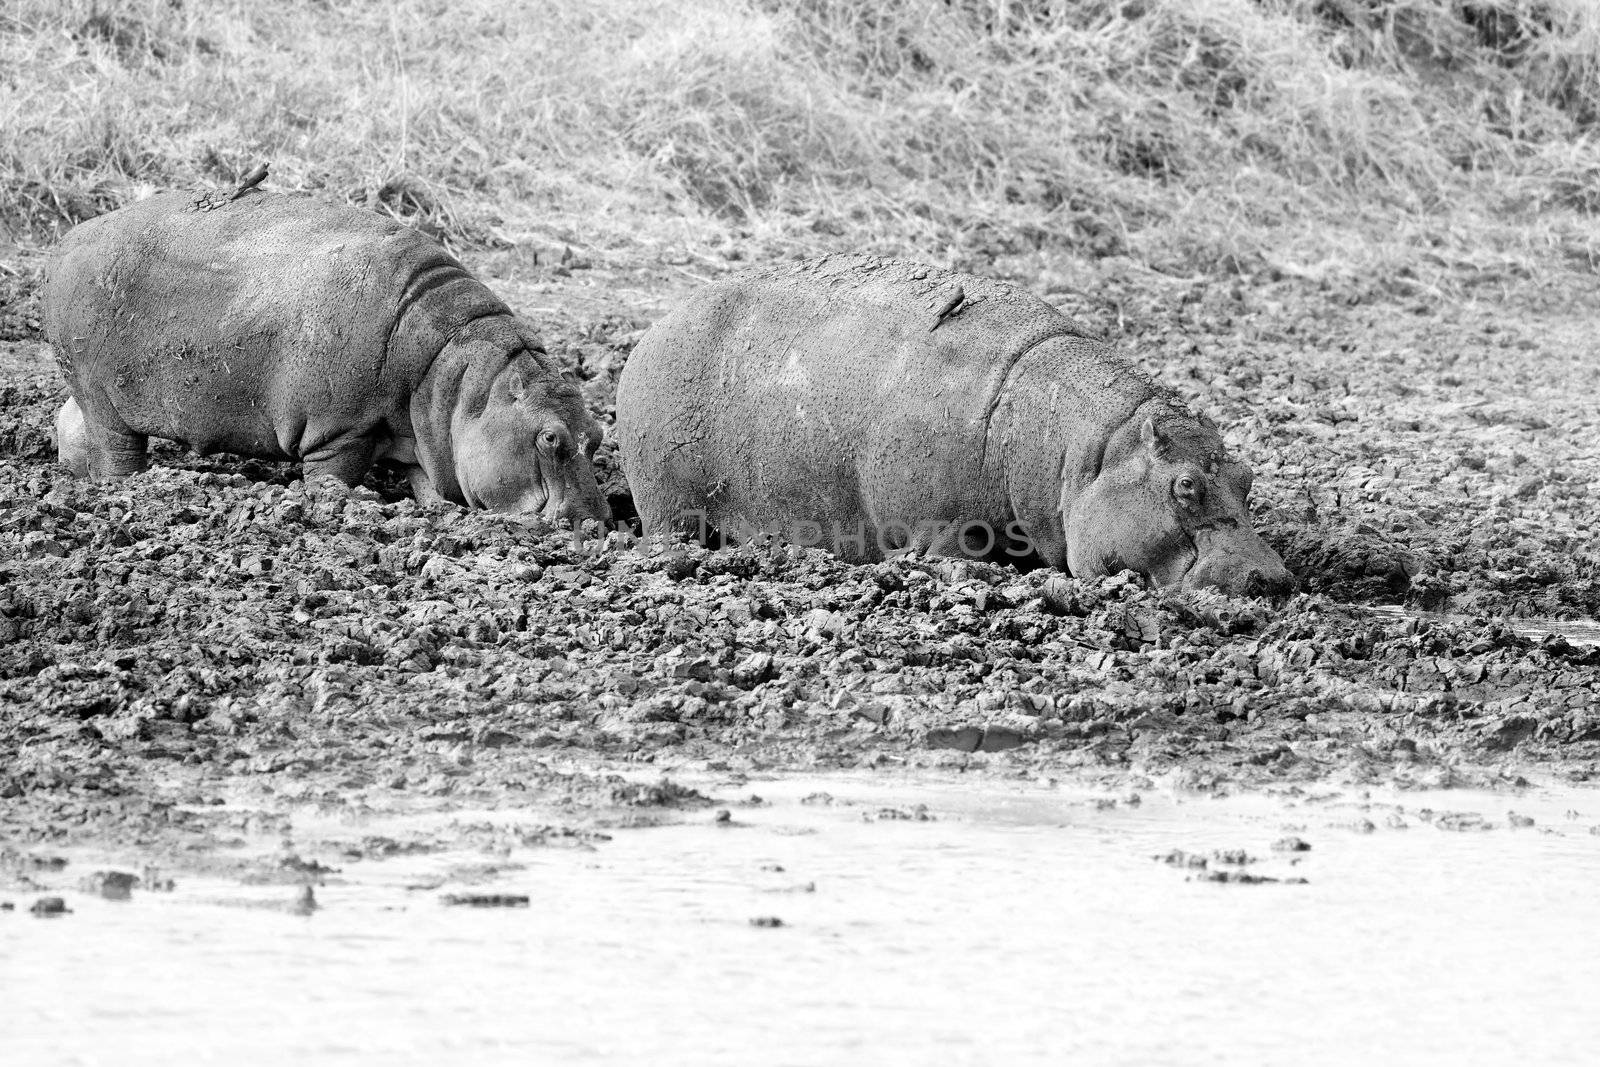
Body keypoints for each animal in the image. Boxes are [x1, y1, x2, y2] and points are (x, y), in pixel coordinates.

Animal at [43, 189, 608, 527]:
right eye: (551, 439)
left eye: (600, 434)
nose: (599, 523)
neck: (464, 376)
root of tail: (72, 236)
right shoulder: (341, 430)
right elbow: (335, 477)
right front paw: (339, 506)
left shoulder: (424, 438)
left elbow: (429, 485)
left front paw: (434, 517)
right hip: (103, 395)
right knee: (116, 450)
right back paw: (126, 488)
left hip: (91, 392)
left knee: (71, 422)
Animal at [617, 254, 1292, 598]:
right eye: (1185, 486)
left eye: (1246, 475)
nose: (1274, 579)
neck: (1084, 448)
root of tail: (657, 325)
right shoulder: (938, 528)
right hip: (669, 505)